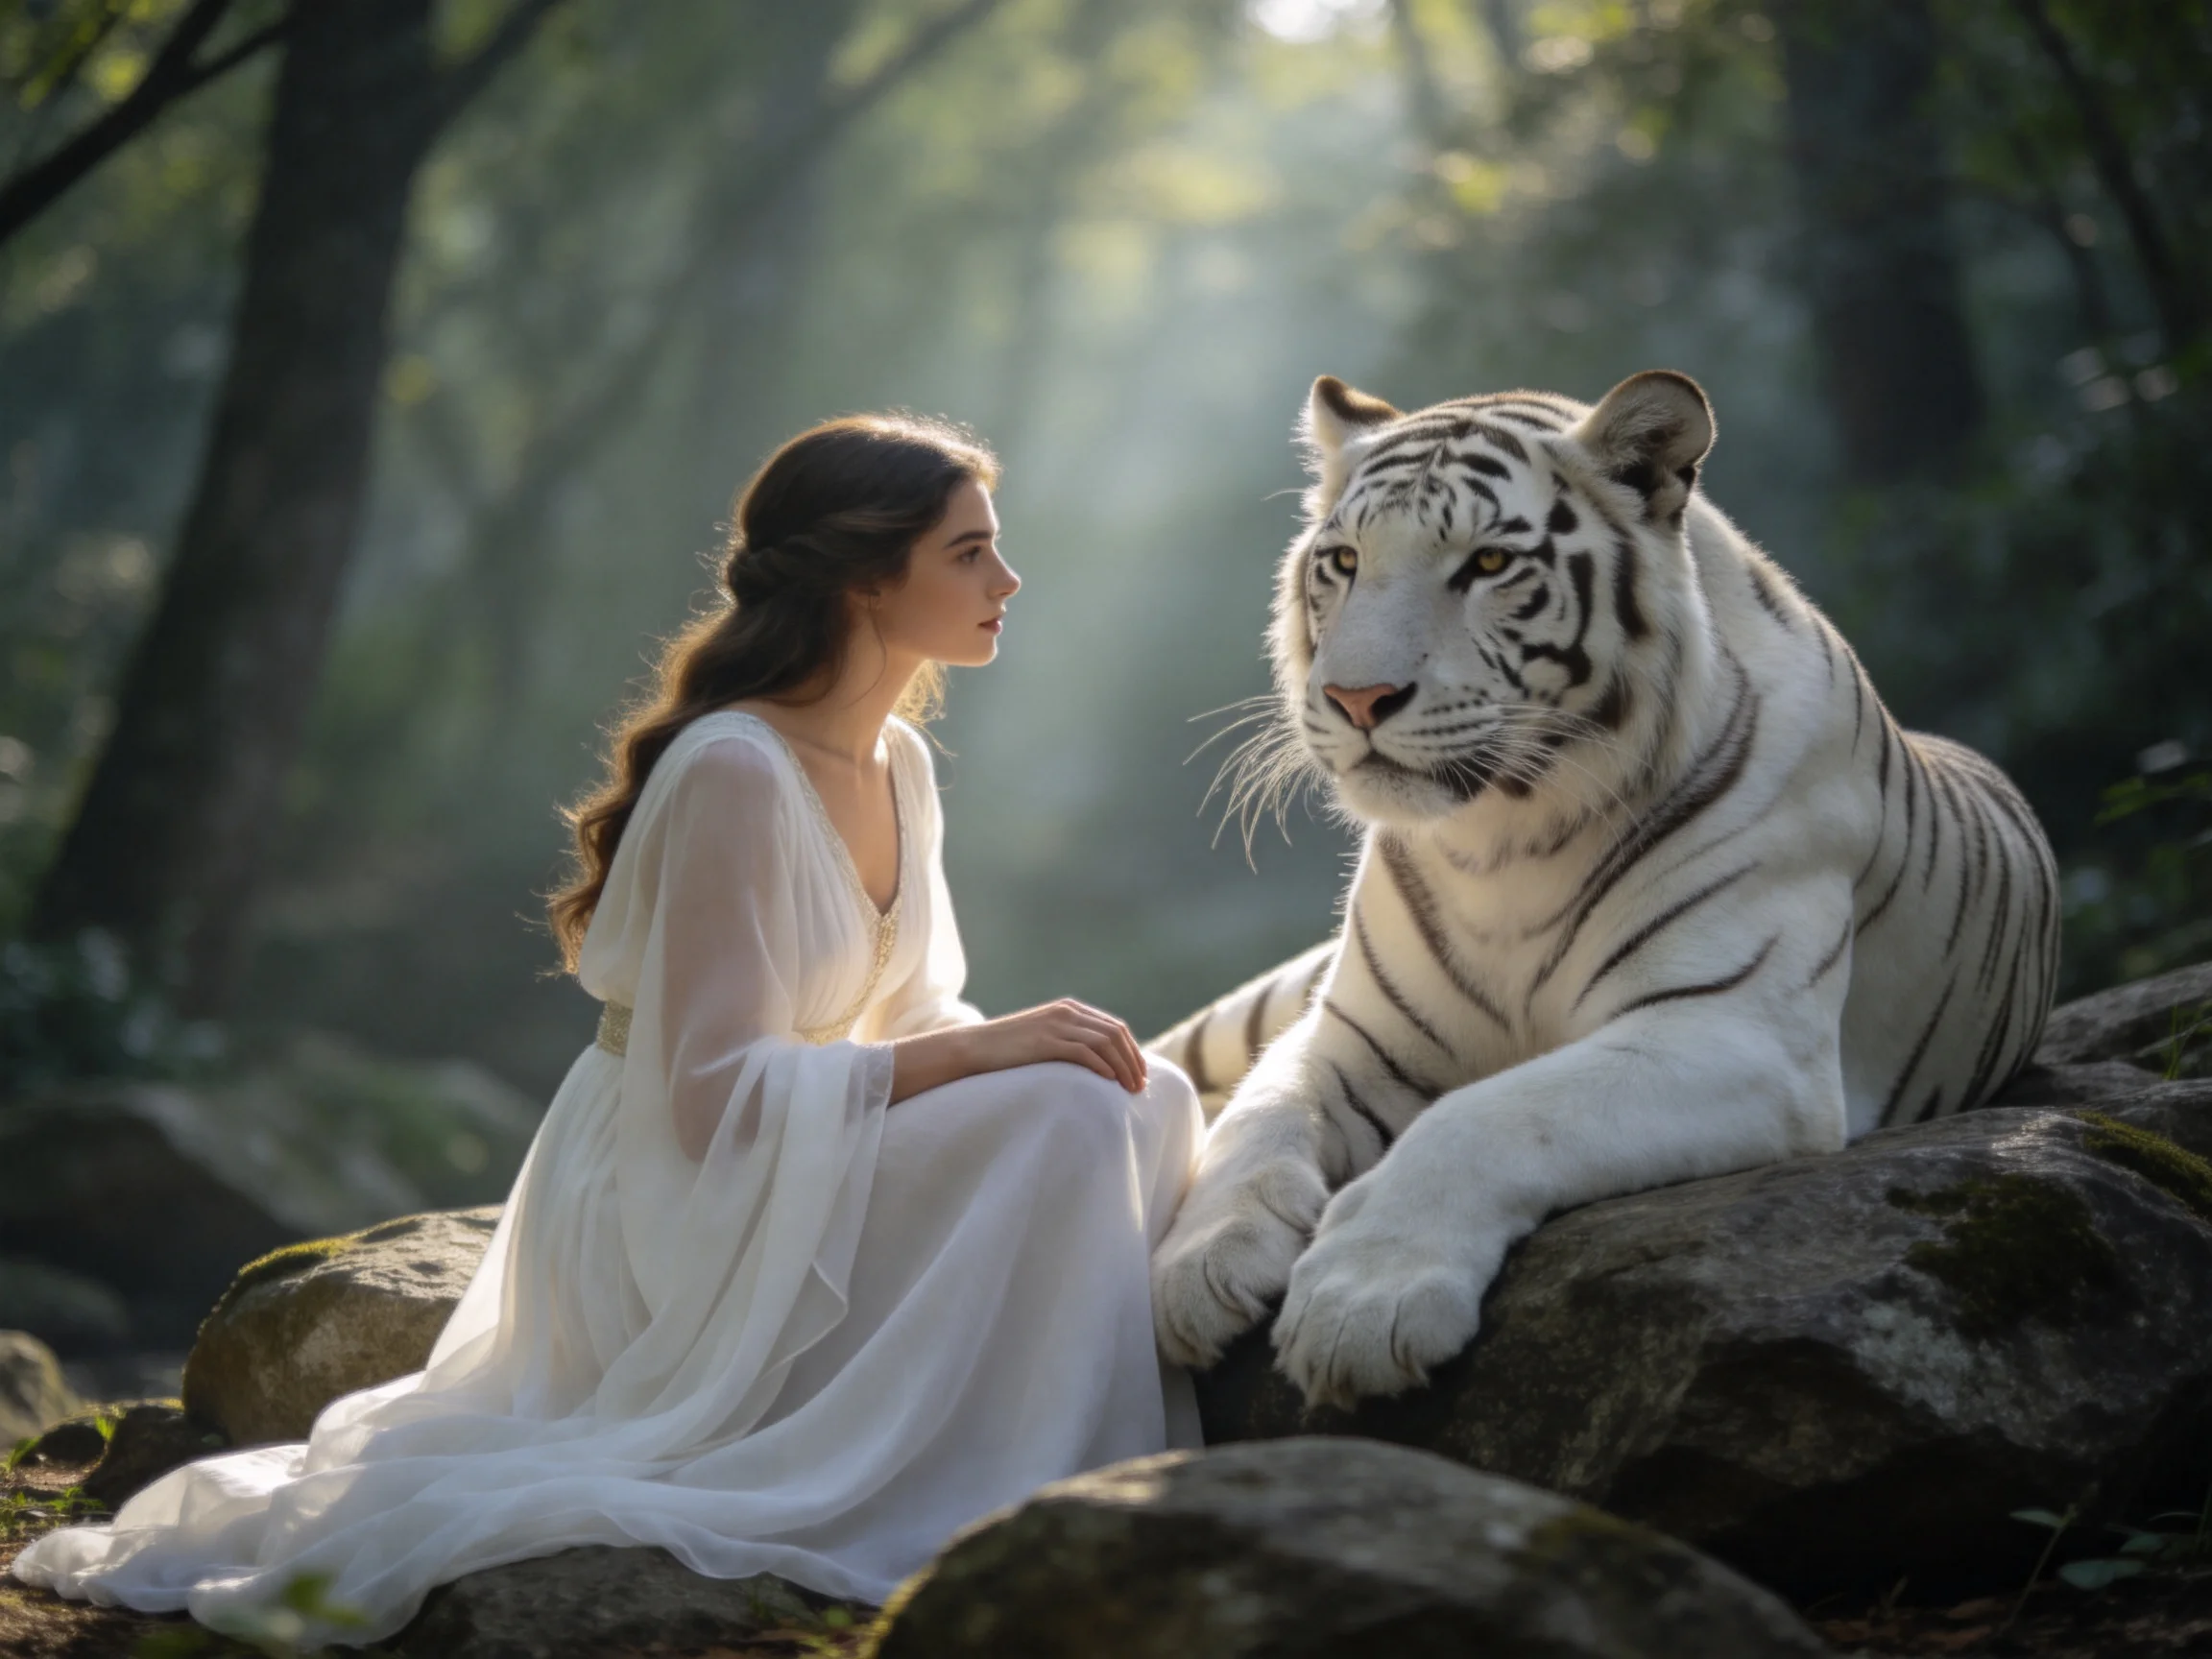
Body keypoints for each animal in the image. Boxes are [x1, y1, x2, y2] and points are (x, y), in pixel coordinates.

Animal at [1147, 369, 2060, 1410]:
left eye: (1489, 562)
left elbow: (1491, 1115)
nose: (1355, 699)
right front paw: (1198, 1265)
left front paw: (1363, 1300)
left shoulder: (1732, 1032)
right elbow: (1258, 1117)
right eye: (1342, 560)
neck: (1501, 840)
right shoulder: (1351, 1034)